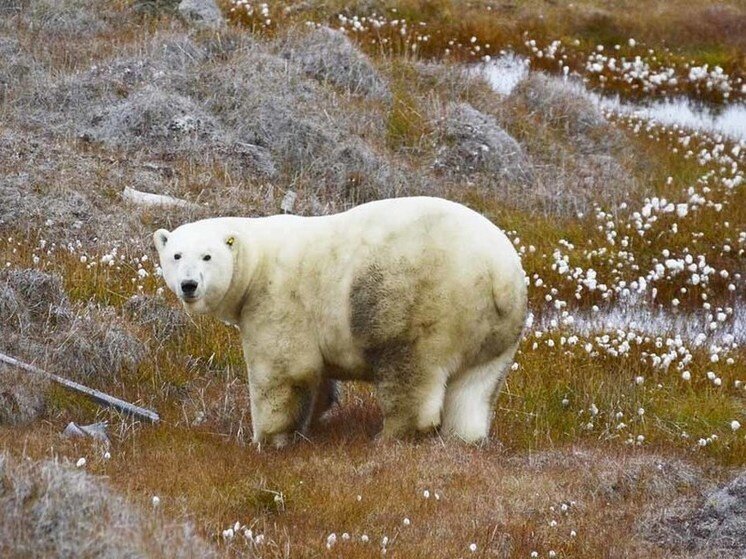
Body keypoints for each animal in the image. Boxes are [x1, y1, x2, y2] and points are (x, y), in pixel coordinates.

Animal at [153, 197, 524, 446]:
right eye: (176, 255)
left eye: (207, 256)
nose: (189, 285)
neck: (257, 261)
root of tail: (500, 274)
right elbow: (315, 376)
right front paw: (312, 420)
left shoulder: (277, 298)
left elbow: (285, 370)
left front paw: (266, 439)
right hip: (497, 331)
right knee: (475, 388)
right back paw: (464, 438)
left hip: (422, 304)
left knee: (410, 372)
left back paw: (389, 437)